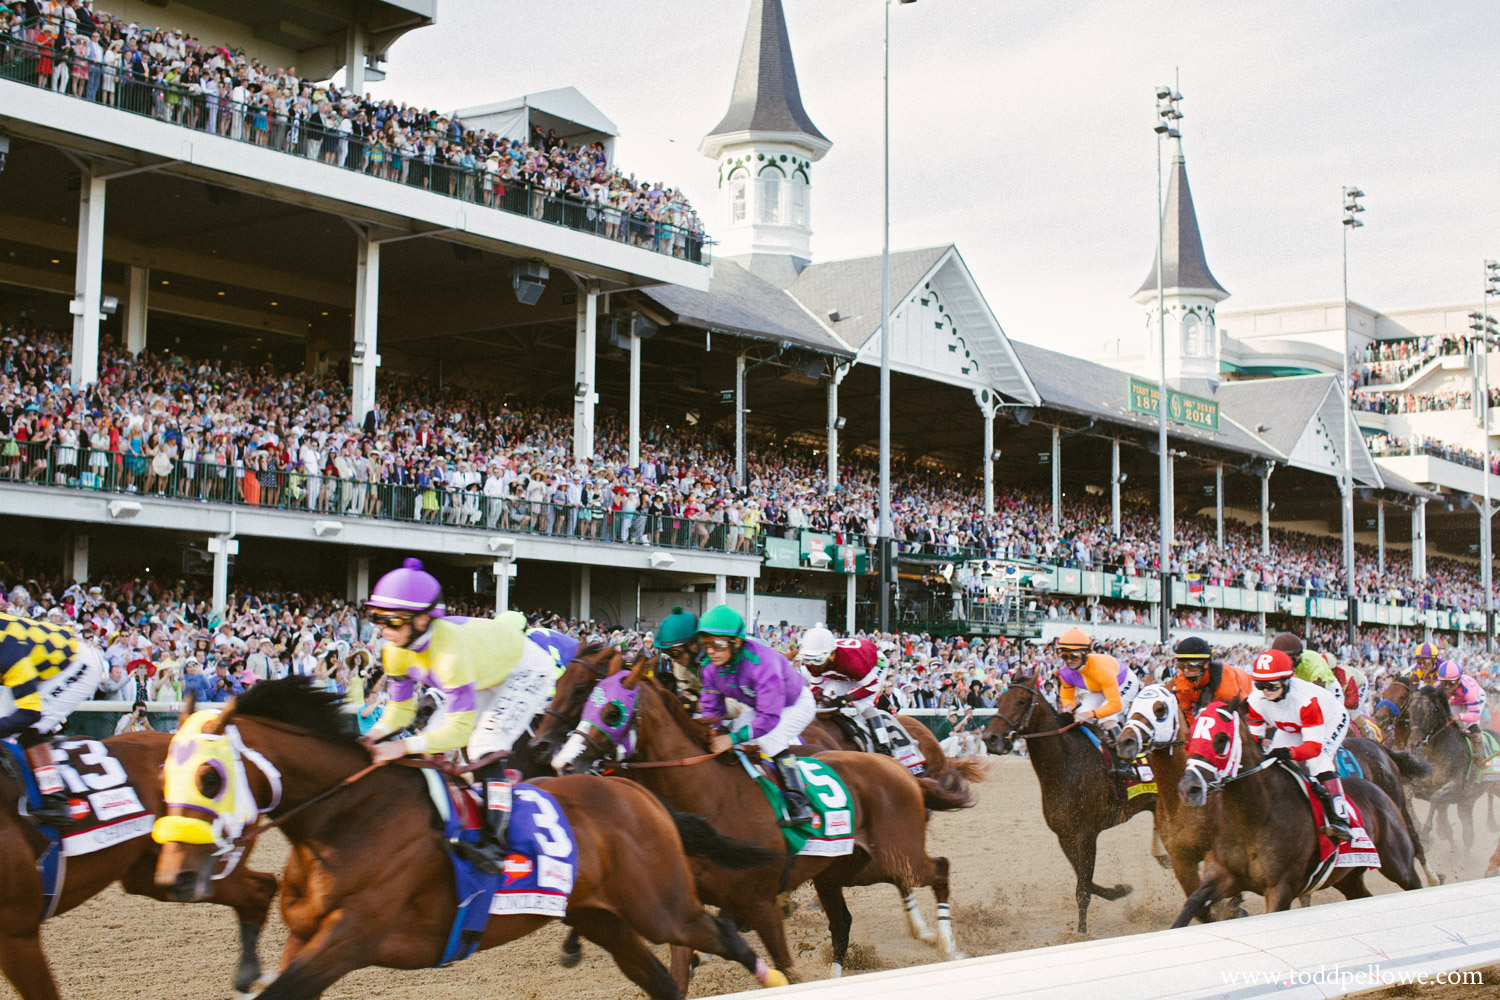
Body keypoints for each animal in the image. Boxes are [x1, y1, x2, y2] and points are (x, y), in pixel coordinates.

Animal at [149, 680, 786, 1000]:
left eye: (210, 777)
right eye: (162, 775)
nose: (174, 875)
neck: (345, 819)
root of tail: (638, 792)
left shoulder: (352, 937)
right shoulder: (304, 937)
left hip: (660, 906)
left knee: (724, 932)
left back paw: (779, 980)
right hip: (602, 915)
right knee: (658, 978)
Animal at [540, 656, 972, 983]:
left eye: (610, 710)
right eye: (581, 699)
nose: (560, 760)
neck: (710, 795)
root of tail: (901, 772)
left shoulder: (761, 903)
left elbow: (786, 969)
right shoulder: (685, 910)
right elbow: (681, 967)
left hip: (894, 854)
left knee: (938, 869)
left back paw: (946, 945)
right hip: (846, 869)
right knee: (846, 920)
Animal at [978, 671, 1152, 941]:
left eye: (1021, 701)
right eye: (999, 699)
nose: (990, 739)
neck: (1066, 763)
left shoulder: (1087, 834)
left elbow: (1083, 887)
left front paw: (1081, 931)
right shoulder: (1065, 834)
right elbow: (1085, 880)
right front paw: (1120, 890)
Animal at [1170, 701, 1416, 929]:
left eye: (1221, 739)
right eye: (1190, 737)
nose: (1188, 788)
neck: (1252, 818)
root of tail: (1379, 791)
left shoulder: (1281, 889)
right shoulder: (1221, 876)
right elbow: (1190, 905)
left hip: (1398, 864)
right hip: (1348, 876)